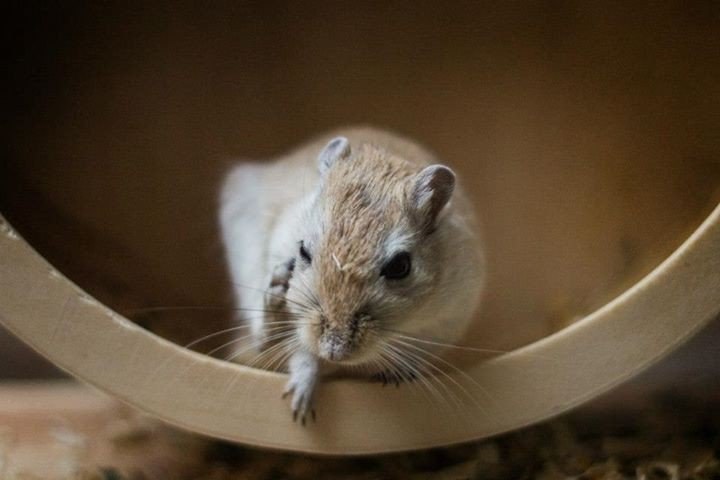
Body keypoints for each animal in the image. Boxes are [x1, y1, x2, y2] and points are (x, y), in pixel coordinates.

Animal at [219, 127, 484, 423]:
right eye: (303, 250)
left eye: (400, 267)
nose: (334, 352)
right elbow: (301, 352)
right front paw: (301, 410)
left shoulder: (446, 321)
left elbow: (416, 355)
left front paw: (394, 377)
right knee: (264, 337)